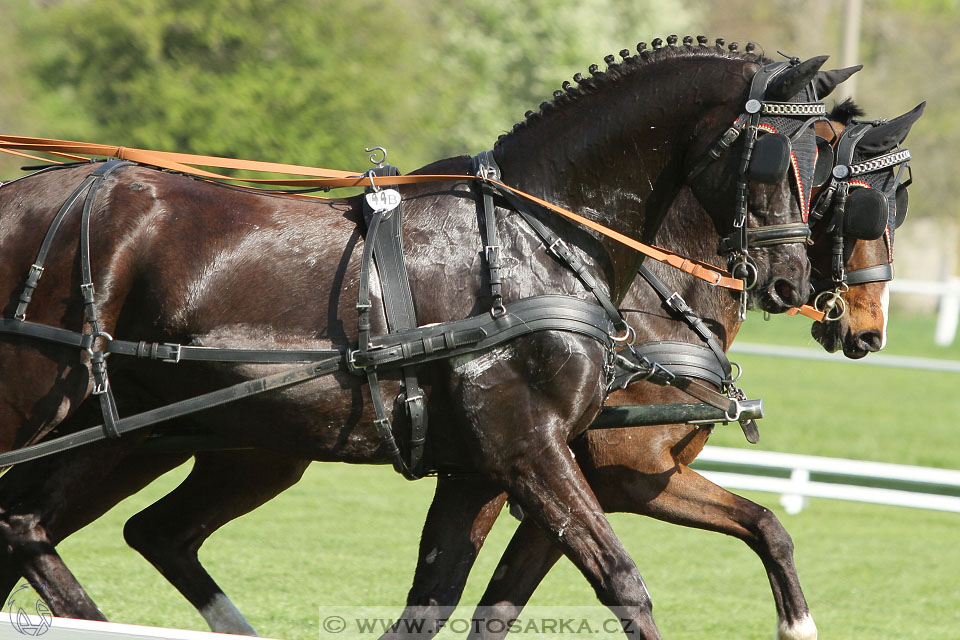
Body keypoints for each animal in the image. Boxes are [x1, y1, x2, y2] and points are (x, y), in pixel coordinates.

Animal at [0, 42, 828, 636]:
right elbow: (621, 580)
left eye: (823, 160)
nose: (790, 281)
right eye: (773, 156)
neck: (535, 240)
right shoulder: (533, 447)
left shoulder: (481, 470)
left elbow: (439, 599)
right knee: (29, 522)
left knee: (50, 527)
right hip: (54, 410)